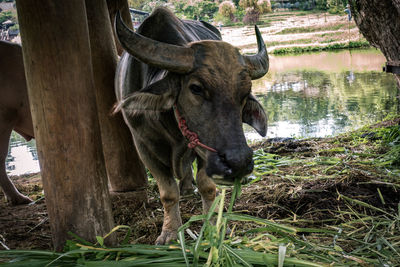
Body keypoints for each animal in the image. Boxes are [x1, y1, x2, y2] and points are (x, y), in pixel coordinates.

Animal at [113, 6, 268, 245]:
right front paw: (169, 232)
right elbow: (168, 193)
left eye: (244, 93)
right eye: (196, 88)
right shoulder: (143, 146)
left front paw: (212, 225)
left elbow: (207, 187)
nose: (239, 163)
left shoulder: (205, 152)